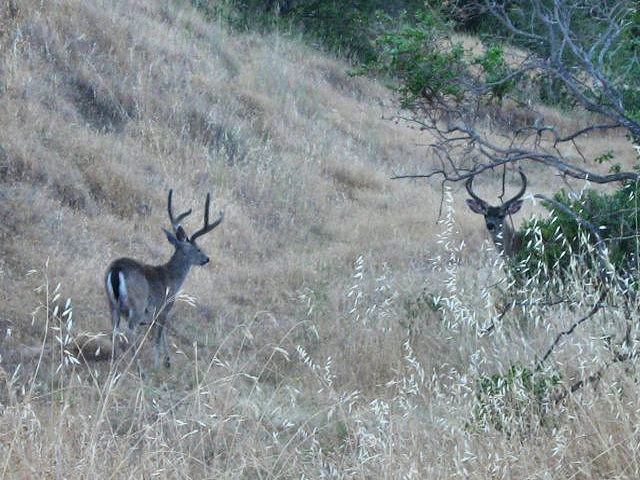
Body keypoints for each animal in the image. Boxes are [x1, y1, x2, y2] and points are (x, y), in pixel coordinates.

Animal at [105, 189, 223, 370]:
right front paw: (158, 364)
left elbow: (162, 334)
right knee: (130, 330)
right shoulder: (164, 307)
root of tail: (116, 269)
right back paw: (139, 368)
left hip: (112, 304)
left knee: (114, 330)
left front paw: (168, 360)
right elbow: (159, 337)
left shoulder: (156, 314)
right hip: (137, 303)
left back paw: (114, 360)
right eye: (198, 249)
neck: (171, 277)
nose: (206, 258)